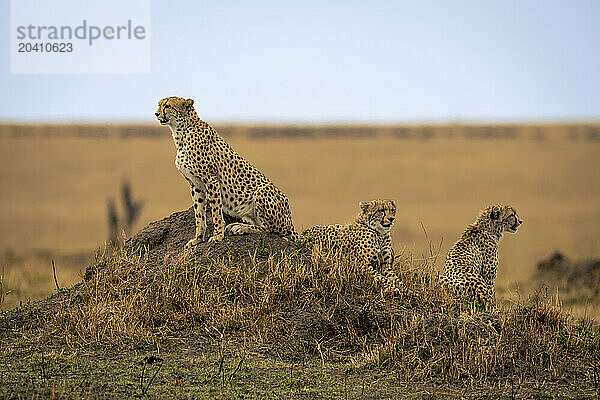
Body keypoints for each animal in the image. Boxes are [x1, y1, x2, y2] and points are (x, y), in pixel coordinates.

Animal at [155, 97, 296, 247]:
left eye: (168, 106)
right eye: (159, 105)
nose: (156, 114)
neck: (181, 132)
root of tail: (291, 220)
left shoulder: (210, 179)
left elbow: (216, 210)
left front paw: (217, 236)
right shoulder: (195, 184)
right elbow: (199, 213)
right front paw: (198, 238)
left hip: (263, 190)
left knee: (271, 230)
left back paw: (240, 227)